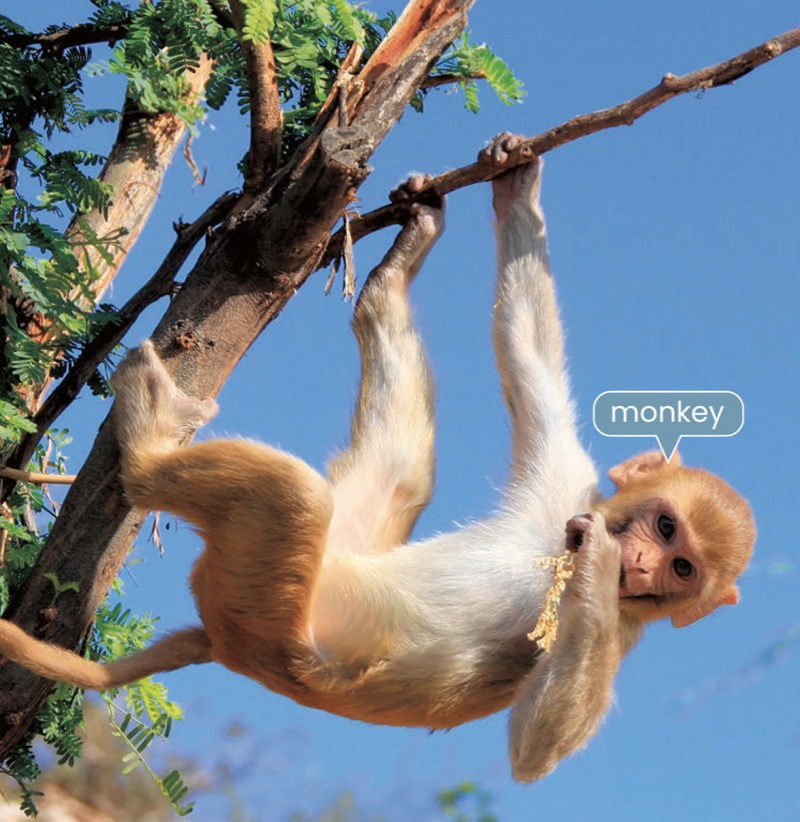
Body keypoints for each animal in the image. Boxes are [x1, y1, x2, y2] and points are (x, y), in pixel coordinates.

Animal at [0, 133, 755, 782]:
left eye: (682, 570)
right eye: (665, 527)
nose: (642, 564)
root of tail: (222, 642)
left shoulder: (623, 627)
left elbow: (533, 748)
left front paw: (597, 564)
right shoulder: (567, 482)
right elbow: (528, 349)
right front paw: (517, 184)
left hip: (266, 611)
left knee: (293, 496)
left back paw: (149, 449)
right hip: (338, 550)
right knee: (395, 472)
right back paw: (393, 274)